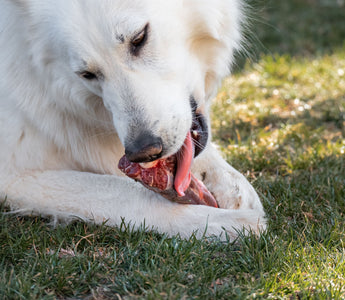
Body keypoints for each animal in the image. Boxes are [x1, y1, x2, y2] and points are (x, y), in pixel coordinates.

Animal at [0, 0, 264, 240]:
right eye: (87, 74)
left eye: (139, 38)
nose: (143, 152)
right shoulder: (13, 175)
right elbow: (127, 193)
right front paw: (220, 222)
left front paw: (232, 186)